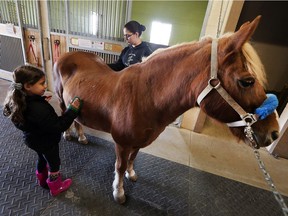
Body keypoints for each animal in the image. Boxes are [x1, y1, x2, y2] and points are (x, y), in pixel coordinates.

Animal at [52, 16, 280, 203]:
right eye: (247, 81)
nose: (274, 133)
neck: (144, 96)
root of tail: (66, 56)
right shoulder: (122, 143)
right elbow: (120, 166)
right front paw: (119, 192)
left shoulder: (140, 141)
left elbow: (132, 160)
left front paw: (131, 175)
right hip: (62, 100)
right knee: (66, 115)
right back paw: (67, 135)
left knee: (78, 120)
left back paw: (82, 137)